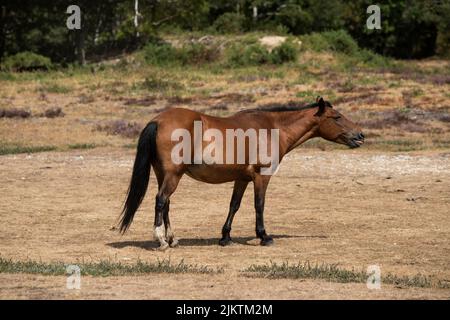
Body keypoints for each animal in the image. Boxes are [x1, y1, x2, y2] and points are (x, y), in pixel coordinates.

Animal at [118, 96, 362, 251]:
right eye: (337, 117)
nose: (360, 135)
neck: (272, 128)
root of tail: (157, 120)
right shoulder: (262, 176)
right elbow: (259, 205)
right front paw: (264, 236)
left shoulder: (242, 178)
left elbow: (234, 205)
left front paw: (225, 237)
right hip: (171, 176)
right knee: (161, 201)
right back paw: (161, 241)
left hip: (164, 174)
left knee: (166, 204)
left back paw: (172, 239)